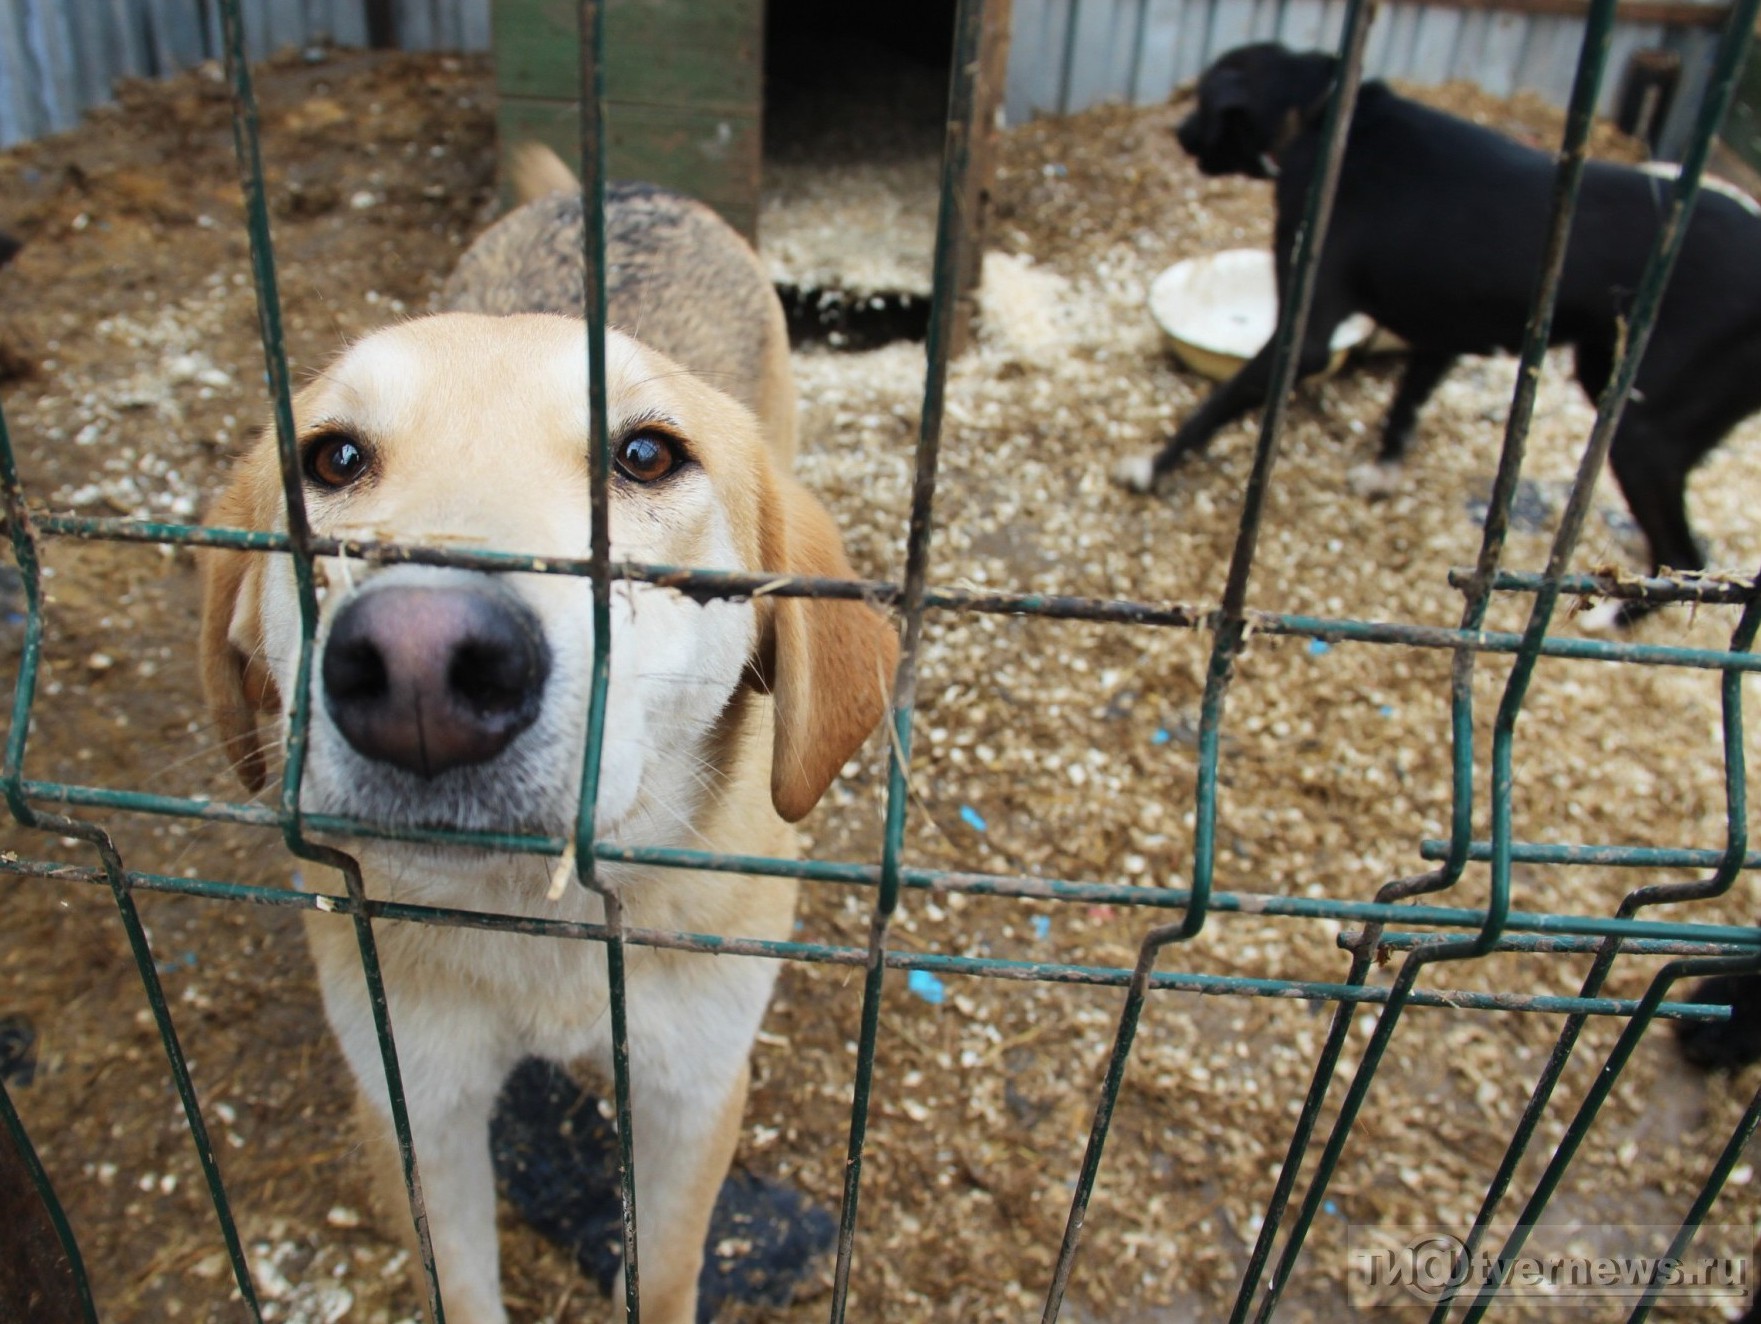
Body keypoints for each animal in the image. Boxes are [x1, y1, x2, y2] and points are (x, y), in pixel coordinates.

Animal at [199, 149, 901, 1316]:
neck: (543, 929)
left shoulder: (693, 1092)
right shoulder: (413, 1101)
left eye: (648, 454)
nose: (422, 664)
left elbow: (664, 1274)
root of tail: (621, 189)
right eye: (333, 459)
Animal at [1119, 42, 1761, 619]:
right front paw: (1382, 473)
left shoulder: (1306, 332)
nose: (1179, 130)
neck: (1325, 112)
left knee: (1687, 553)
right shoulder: (1441, 335)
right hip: (1607, 373)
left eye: (1202, 100)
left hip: (1643, 433)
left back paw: (1611, 618)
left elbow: (1218, 402)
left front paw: (1151, 464)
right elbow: (1404, 404)